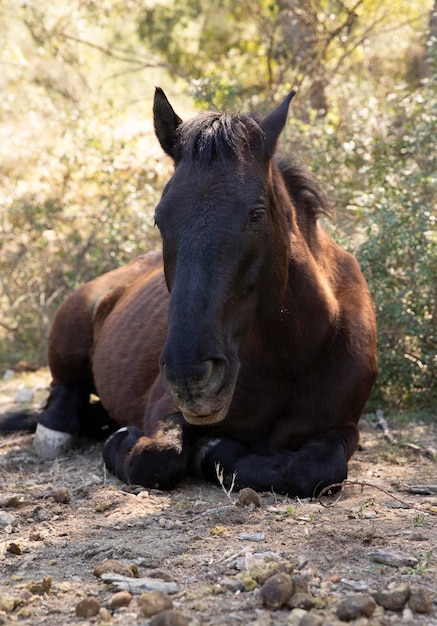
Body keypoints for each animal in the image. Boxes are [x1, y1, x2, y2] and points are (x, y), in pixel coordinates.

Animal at [1, 88, 376, 494]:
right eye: (159, 219)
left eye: (256, 214)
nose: (190, 378)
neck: (293, 353)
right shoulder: (165, 410)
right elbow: (157, 457)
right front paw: (130, 439)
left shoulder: (341, 428)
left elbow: (316, 469)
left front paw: (215, 450)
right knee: (63, 392)